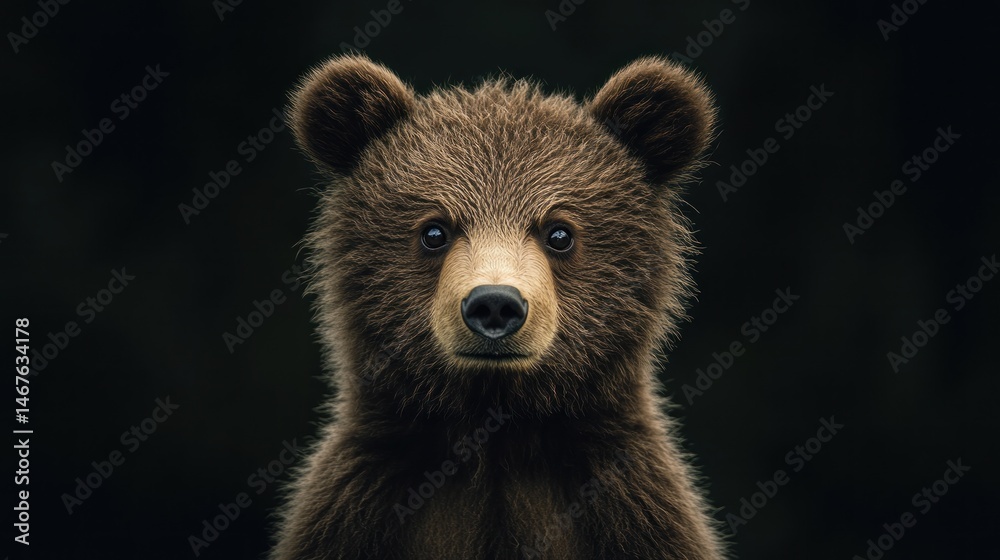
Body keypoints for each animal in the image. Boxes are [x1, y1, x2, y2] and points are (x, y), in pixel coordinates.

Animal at [271, 54, 724, 560]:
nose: (494, 305)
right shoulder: (358, 504)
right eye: (434, 231)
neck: (497, 431)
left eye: (559, 232)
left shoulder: (633, 507)